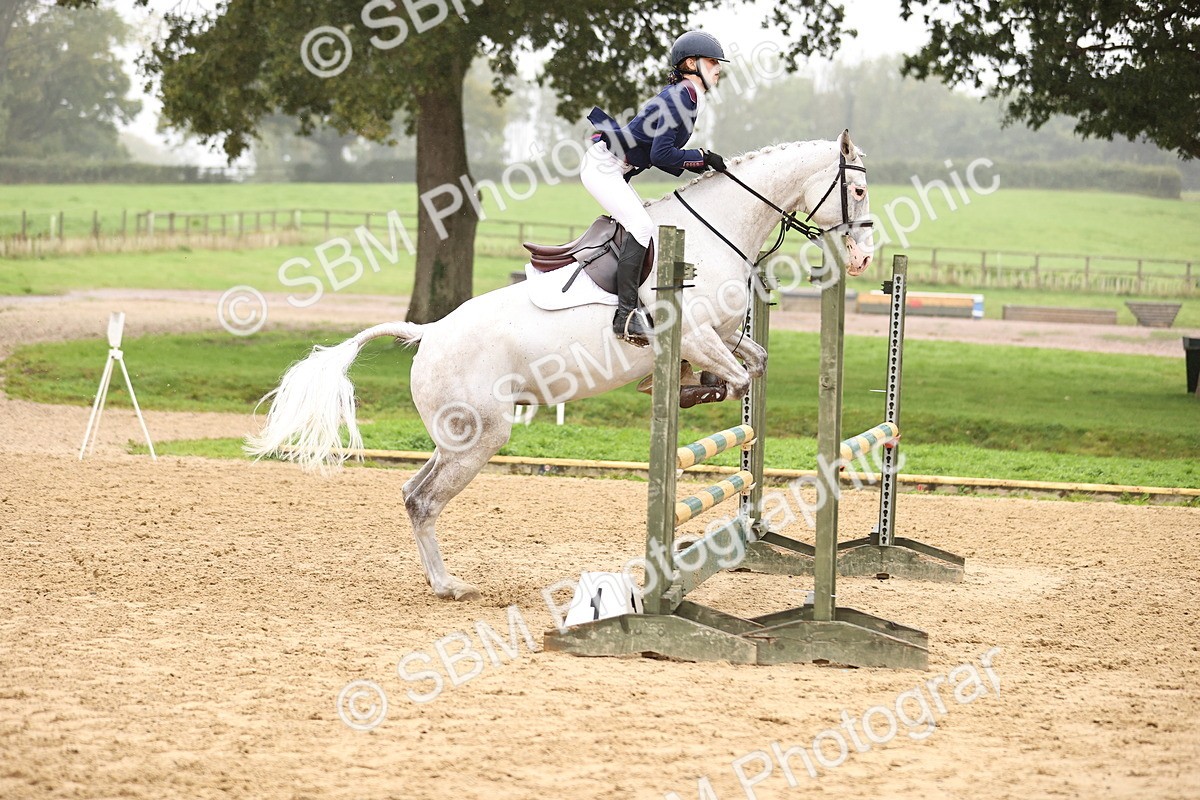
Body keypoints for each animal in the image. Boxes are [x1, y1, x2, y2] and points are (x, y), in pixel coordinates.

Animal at [246, 129, 875, 601]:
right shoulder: (697, 335)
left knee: (411, 490)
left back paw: (440, 580)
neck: (716, 232)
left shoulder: (721, 336)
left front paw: (689, 388)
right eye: (859, 189)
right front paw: (687, 391)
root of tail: (427, 334)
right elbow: (738, 379)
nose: (865, 258)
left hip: (456, 436)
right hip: (481, 435)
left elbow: (755, 365)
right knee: (425, 500)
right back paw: (450, 586)